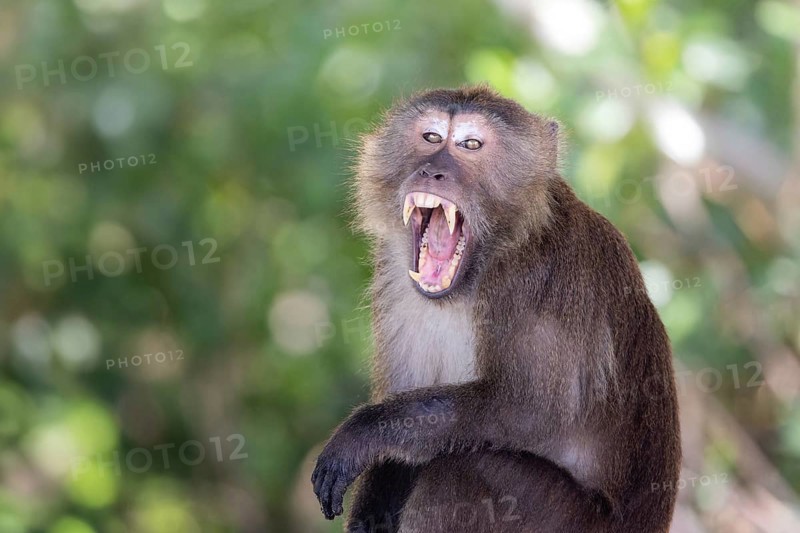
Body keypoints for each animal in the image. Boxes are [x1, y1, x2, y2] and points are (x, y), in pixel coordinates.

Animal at [311, 85, 681, 533]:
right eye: (431, 137)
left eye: (471, 145)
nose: (432, 172)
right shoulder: (394, 275)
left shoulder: (534, 281)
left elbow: (530, 410)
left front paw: (364, 434)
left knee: (460, 472)